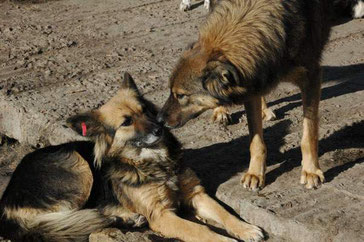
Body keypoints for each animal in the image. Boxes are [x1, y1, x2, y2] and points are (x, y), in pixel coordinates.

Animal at [0, 72, 262, 242]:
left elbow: (225, 214)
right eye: (126, 122)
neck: (156, 161)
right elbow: (201, 231)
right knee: (63, 219)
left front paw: (246, 229)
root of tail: (7, 201)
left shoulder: (195, 194)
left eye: (145, 111)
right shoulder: (160, 215)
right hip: (78, 167)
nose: (159, 128)